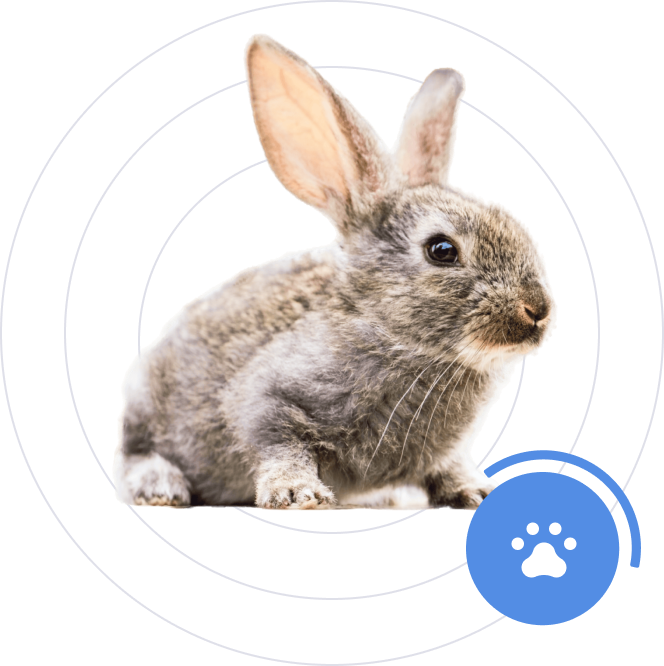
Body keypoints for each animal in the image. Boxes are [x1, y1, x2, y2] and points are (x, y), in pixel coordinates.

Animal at [112, 33, 557, 511]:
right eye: (442, 251)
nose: (537, 311)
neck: (393, 337)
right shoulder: (267, 397)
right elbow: (275, 439)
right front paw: (298, 494)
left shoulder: (445, 453)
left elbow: (449, 467)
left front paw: (478, 492)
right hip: (146, 409)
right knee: (136, 452)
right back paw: (161, 487)